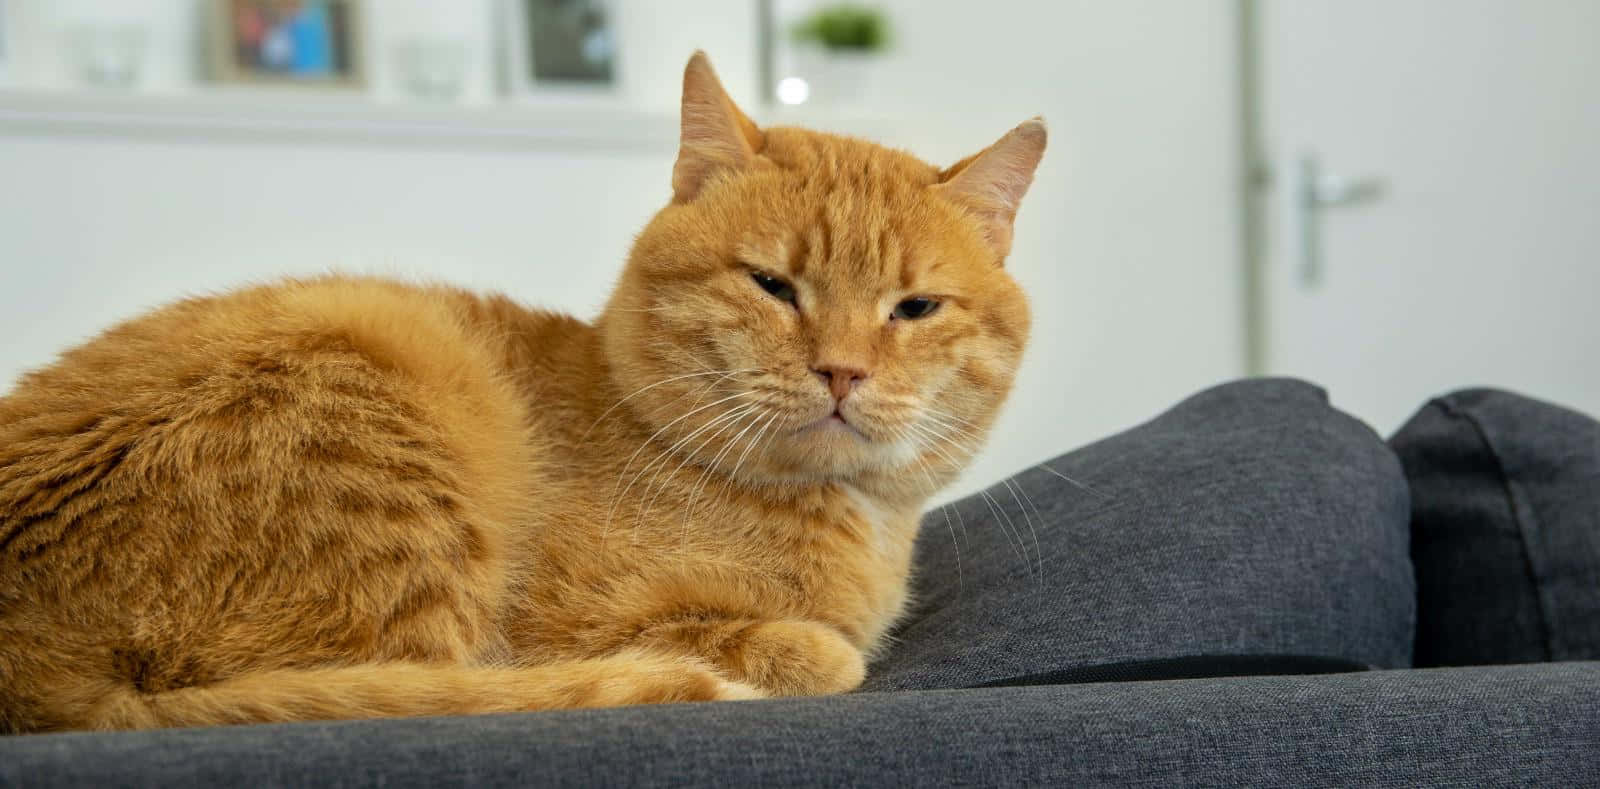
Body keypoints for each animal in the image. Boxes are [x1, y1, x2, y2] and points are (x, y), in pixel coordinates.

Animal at [0, 54, 1036, 732]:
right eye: (773, 285)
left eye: (915, 307)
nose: (843, 369)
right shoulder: (573, 628)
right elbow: (775, 642)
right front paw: (794, 648)